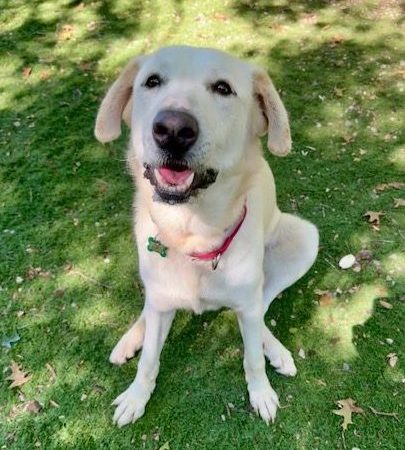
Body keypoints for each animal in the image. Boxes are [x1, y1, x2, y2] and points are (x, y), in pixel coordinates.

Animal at [95, 45, 319, 427]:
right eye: (151, 81)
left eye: (223, 88)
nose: (172, 129)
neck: (192, 232)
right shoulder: (161, 300)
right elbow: (149, 359)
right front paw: (137, 395)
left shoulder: (246, 304)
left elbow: (252, 357)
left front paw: (261, 392)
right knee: (149, 308)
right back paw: (130, 339)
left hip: (303, 239)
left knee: (263, 306)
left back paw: (275, 349)